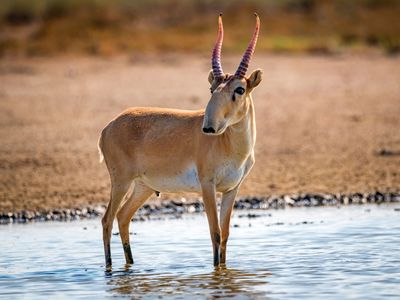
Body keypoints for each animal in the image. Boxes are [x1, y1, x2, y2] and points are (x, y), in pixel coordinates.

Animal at [98, 13, 262, 270]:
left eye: (240, 89)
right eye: (212, 88)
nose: (208, 127)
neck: (231, 147)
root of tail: (109, 126)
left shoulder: (231, 189)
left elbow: (225, 235)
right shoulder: (207, 186)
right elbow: (215, 232)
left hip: (143, 186)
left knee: (123, 217)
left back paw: (131, 265)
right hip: (121, 181)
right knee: (107, 219)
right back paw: (110, 269)